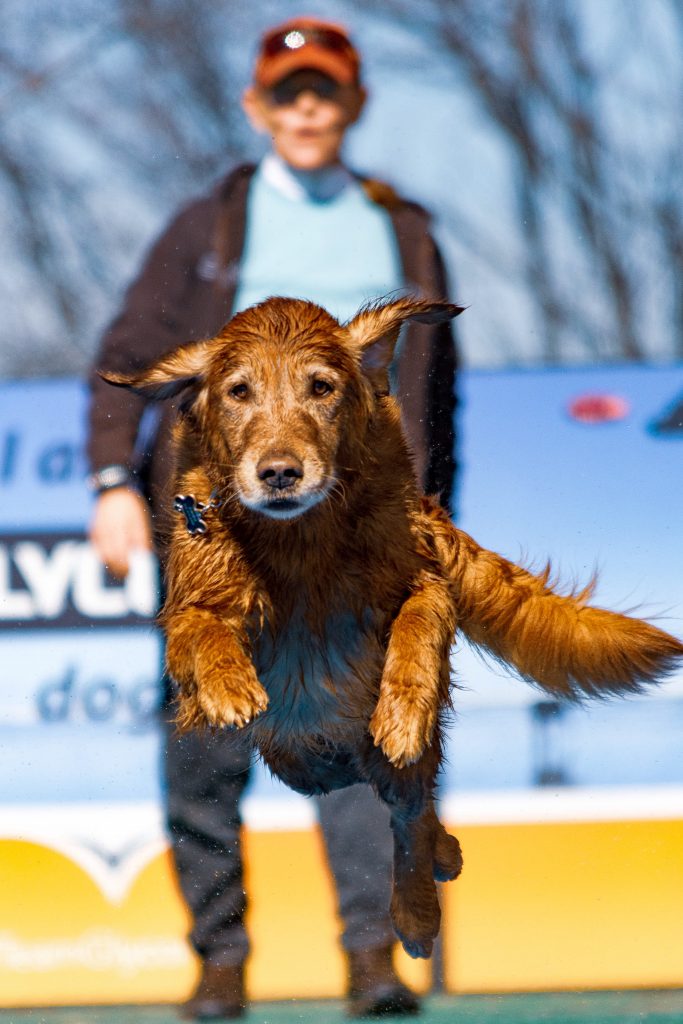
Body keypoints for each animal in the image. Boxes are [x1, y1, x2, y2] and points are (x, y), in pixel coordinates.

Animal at [102, 296, 683, 958]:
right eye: (238, 391)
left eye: (321, 387)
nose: (279, 472)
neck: (300, 541)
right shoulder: (194, 594)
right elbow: (203, 631)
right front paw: (229, 686)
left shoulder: (420, 578)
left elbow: (416, 628)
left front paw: (402, 712)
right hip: (297, 756)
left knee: (410, 814)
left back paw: (422, 901)